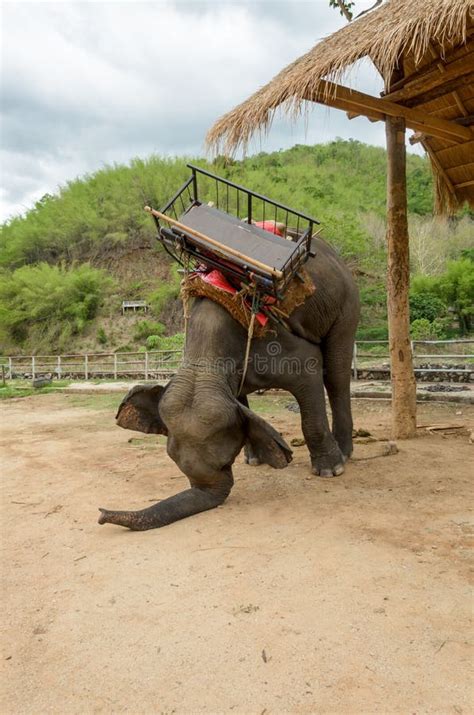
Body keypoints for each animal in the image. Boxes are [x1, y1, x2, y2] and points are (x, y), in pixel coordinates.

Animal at [99, 239, 360, 532]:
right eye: (173, 459)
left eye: (225, 462)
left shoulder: (274, 340)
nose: (100, 515)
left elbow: (310, 366)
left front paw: (329, 471)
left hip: (346, 304)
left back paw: (344, 454)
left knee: (336, 373)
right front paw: (256, 458)